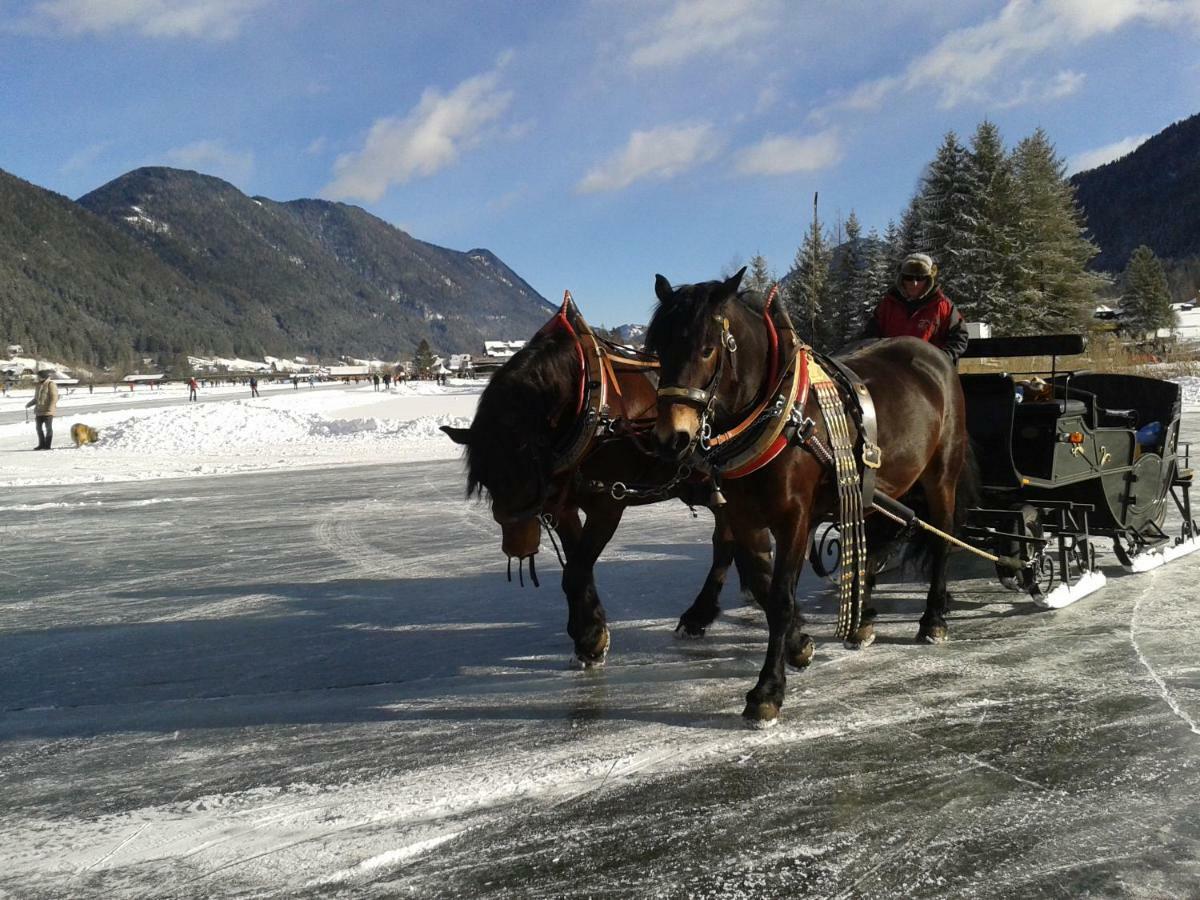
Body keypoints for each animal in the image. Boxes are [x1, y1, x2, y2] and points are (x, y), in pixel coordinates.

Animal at [441, 301, 768, 672]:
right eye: (487, 482)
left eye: (527, 475)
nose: (516, 548)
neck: (589, 406)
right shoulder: (564, 506)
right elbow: (578, 568)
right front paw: (591, 631)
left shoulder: (608, 502)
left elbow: (576, 571)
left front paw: (589, 638)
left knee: (722, 542)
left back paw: (698, 614)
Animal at [648, 271, 974, 729]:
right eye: (659, 349)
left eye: (708, 348)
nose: (670, 438)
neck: (780, 412)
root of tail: (937, 358)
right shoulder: (745, 516)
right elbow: (763, 586)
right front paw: (800, 645)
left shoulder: (794, 518)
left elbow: (781, 598)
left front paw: (768, 690)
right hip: (873, 489)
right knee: (873, 543)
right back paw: (862, 620)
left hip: (940, 477)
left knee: (942, 539)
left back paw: (933, 619)